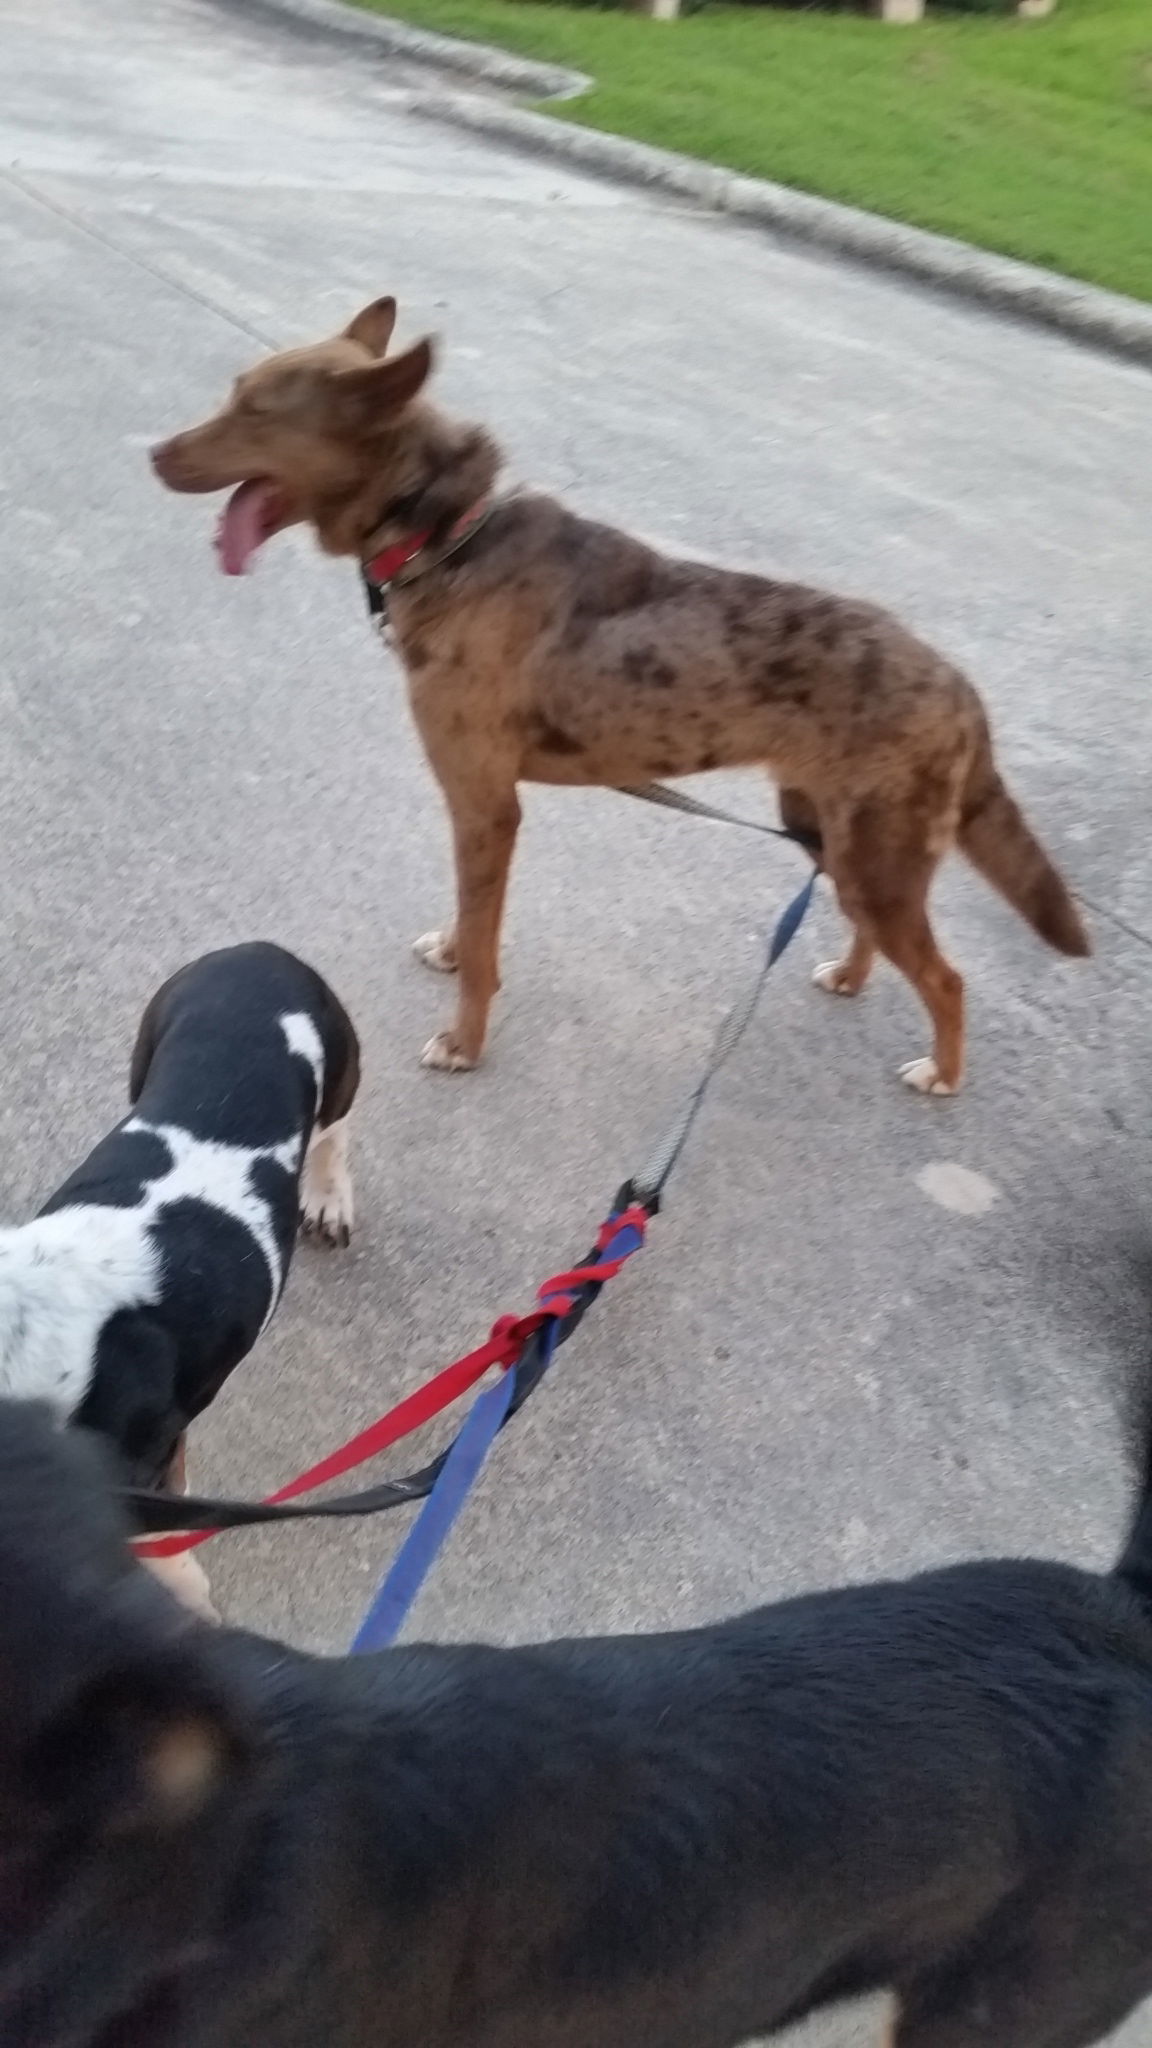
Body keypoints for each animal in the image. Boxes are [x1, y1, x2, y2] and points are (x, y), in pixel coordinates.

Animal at [152, 299, 1082, 1097]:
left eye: (255, 411)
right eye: (237, 396)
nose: (154, 454)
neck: (443, 534)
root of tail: (960, 686)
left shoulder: (485, 805)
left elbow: (486, 944)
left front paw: (466, 1040)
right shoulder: (478, 810)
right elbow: (472, 920)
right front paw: (453, 952)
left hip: (877, 854)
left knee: (947, 979)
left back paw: (943, 1072)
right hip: (831, 831)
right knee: (871, 930)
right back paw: (851, 976)